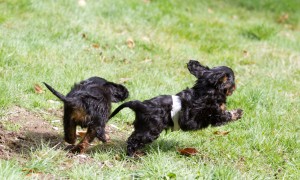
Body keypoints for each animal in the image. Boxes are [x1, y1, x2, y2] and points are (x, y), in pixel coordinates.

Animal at [110, 60, 244, 156]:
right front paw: (239, 112)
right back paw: (132, 155)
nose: (236, 86)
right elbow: (227, 115)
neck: (206, 90)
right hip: (149, 131)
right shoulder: (214, 114)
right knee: (132, 141)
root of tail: (140, 105)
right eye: (233, 79)